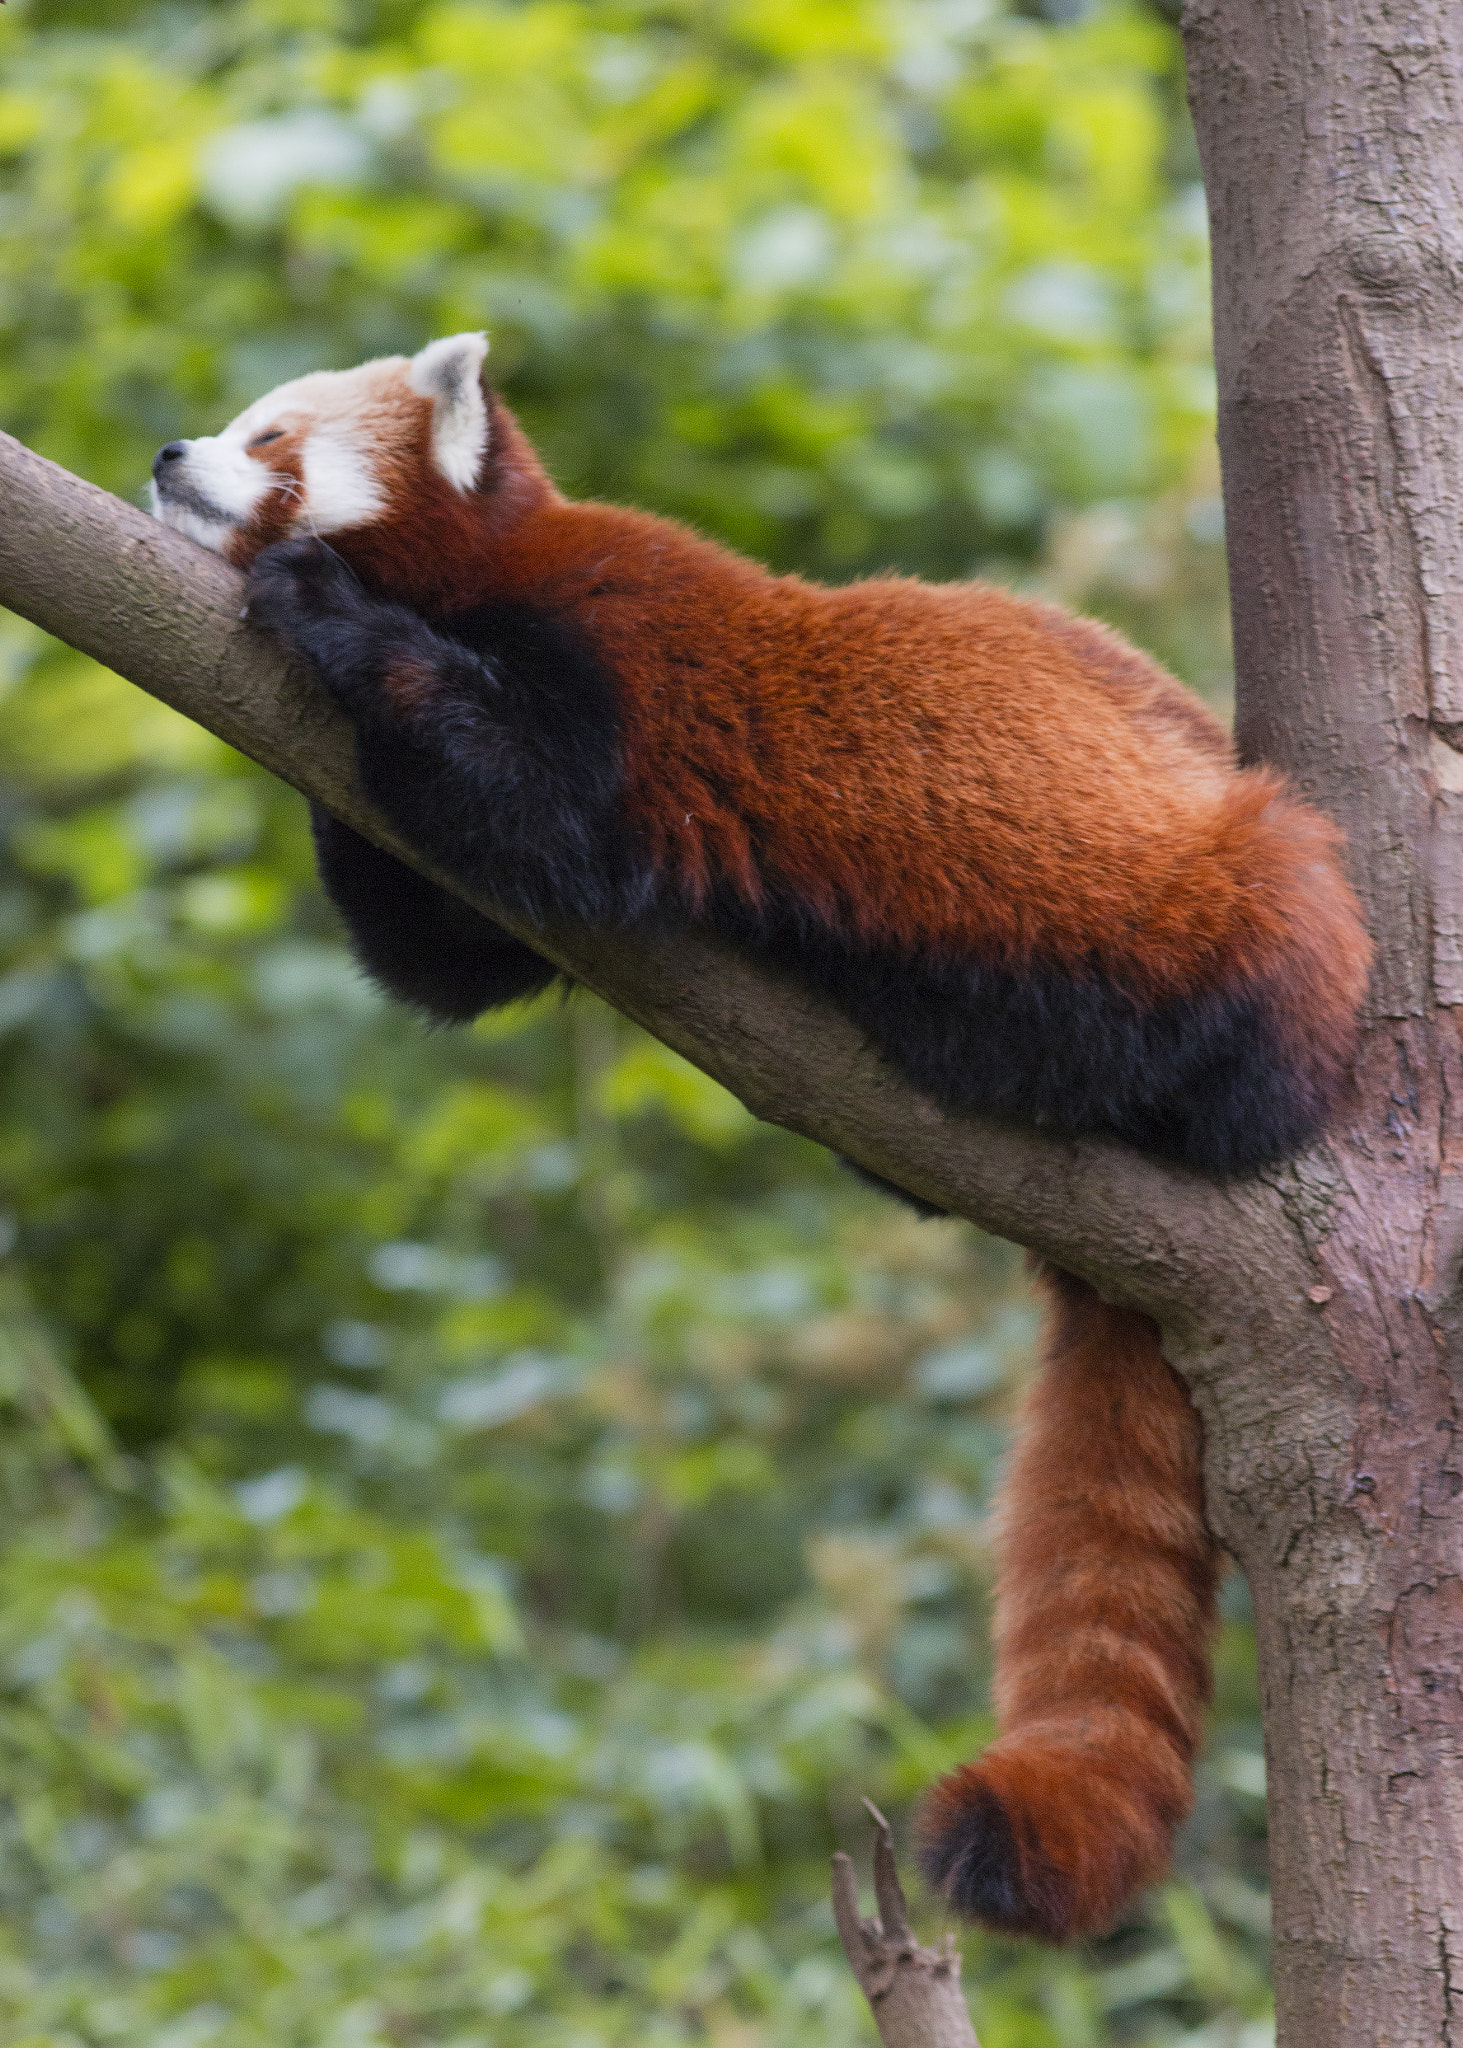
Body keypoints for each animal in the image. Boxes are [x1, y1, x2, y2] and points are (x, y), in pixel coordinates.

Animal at [151, 331, 1370, 1942]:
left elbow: (524, 802)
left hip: (1240, 906)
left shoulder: (612, 662)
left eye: (271, 437)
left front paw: (321, 612)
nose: (169, 455)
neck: (486, 568)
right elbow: (446, 952)